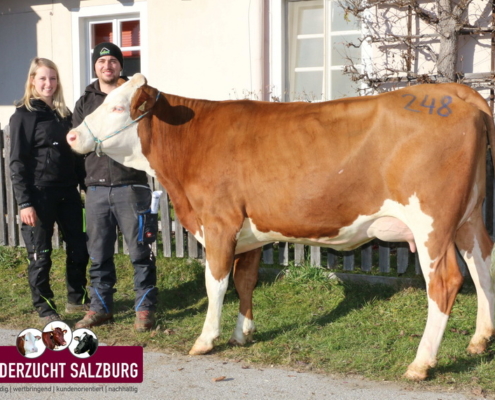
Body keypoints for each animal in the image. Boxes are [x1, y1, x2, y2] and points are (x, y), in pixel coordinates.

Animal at [68, 72, 495, 382]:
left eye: (116, 107)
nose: (72, 134)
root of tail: (455, 91)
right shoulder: (251, 231)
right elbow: (245, 280)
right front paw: (243, 333)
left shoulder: (219, 222)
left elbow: (215, 283)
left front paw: (206, 339)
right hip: (469, 217)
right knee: (482, 266)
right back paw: (479, 340)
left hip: (431, 224)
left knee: (446, 281)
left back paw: (421, 363)